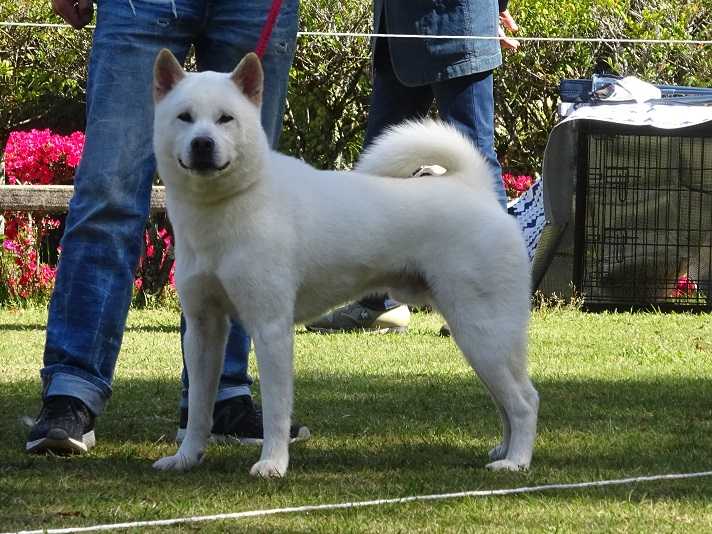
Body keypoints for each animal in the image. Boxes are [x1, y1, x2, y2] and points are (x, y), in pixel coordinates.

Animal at [150, 49, 539, 477]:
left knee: (525, 401)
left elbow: (276, 411)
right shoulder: (203, 328)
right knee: (506, 401)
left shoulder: (270, 328)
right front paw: (186, 457)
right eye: (184, 117)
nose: (202, 144)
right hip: (478, 338)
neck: (228, 205)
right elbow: (199, 408)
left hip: (483, 331)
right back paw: (504, 449)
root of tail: (473, 189)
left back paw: (516, 461)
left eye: (225, 119)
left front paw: (273, 463)